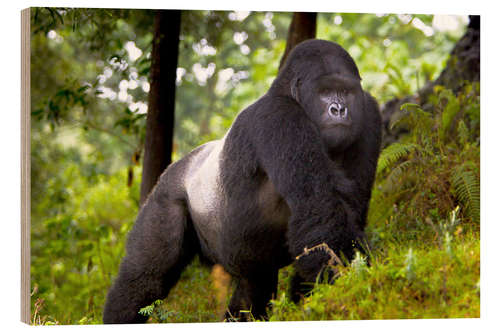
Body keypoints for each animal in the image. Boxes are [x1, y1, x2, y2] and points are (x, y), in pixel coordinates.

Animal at [103, 38, 380, 322]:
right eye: (324, 92)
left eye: (345, 91)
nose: (339, 109)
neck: (288, 93)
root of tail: (175, 167)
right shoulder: (279, 116)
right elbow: (318, 207)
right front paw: (348, 287)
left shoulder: (369, 113)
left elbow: (348, 210)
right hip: (165, 197)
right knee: (146, 278)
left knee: (252, 287)